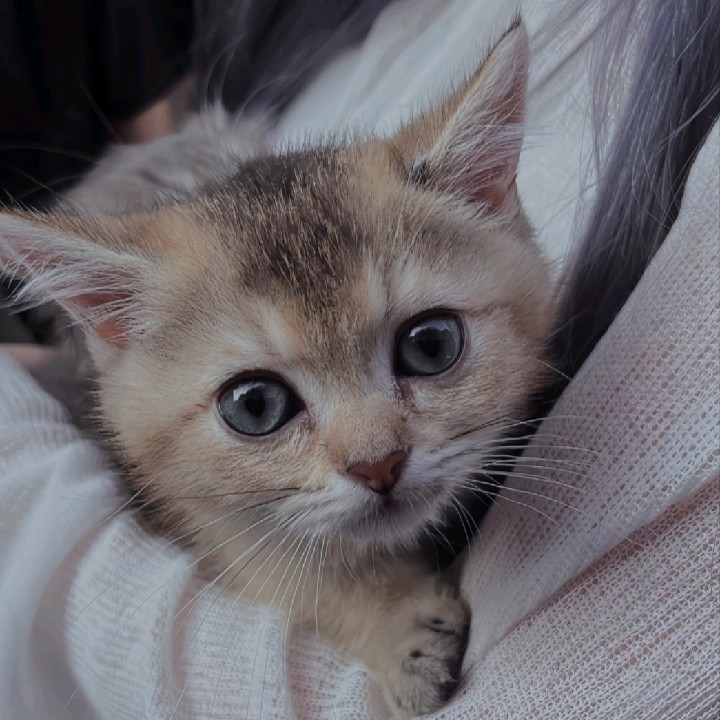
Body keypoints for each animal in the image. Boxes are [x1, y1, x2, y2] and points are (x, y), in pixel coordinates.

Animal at [0, 20, 552, 717]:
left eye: (430, 346)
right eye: (255, 406)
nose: (379, 465)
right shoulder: (175, 497)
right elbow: (283, 566)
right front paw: (396, 626)